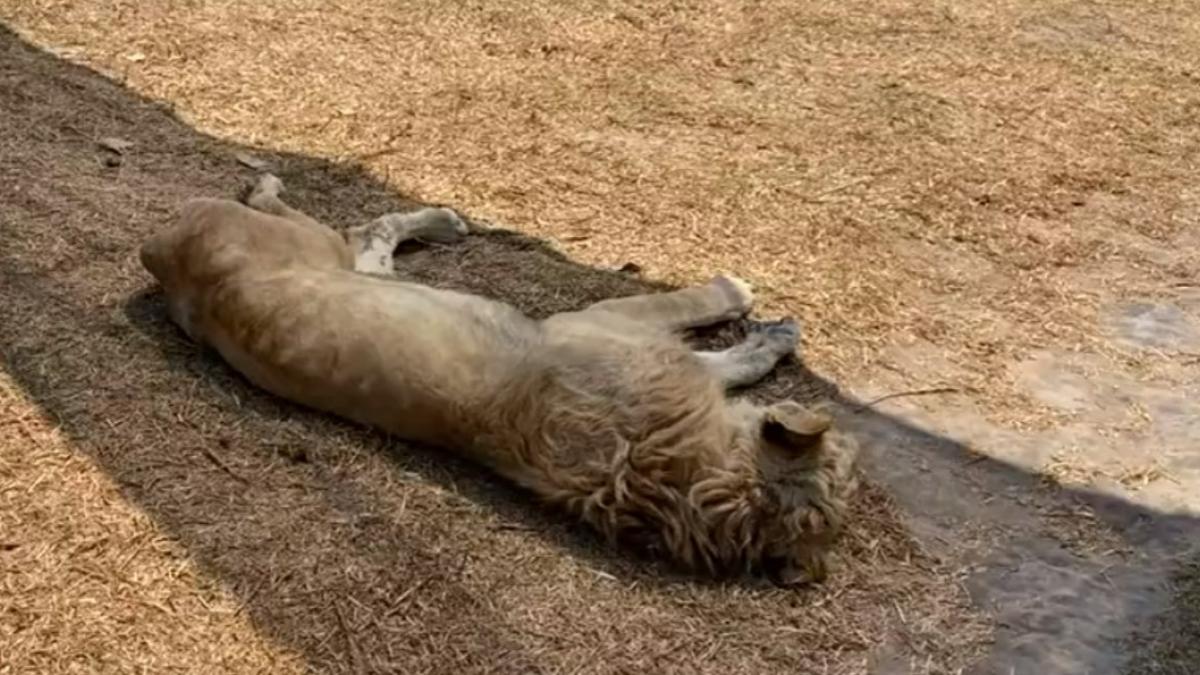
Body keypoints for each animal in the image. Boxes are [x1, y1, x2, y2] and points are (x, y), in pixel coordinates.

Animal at [140, 172, 864, 583]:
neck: (684, 480)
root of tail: (162, 252)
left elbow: (721, 364)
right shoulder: (606, 321)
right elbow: (703, 323)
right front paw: (746, 306)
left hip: (347, 268)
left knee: (373, 237)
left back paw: (438, 222)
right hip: (314, 245)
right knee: (348, 220)